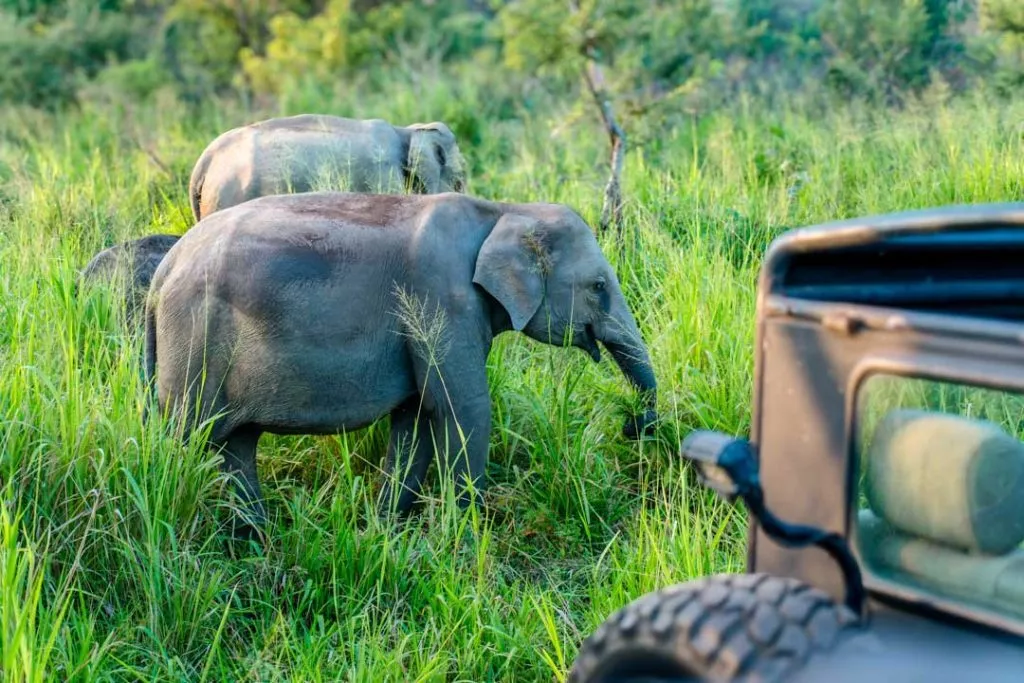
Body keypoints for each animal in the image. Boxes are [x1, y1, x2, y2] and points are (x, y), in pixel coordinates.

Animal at [143, 191, 658, 537]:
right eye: (598, 287)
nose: (631, 425)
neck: (502, 209)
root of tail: (162, 272)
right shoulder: (440, 300)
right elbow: (462, 409)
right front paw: (468, 532)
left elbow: (416, 418)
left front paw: (385, 529)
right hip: (194, 340)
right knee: (186, 437)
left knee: (237, 444)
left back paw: (257, 537)